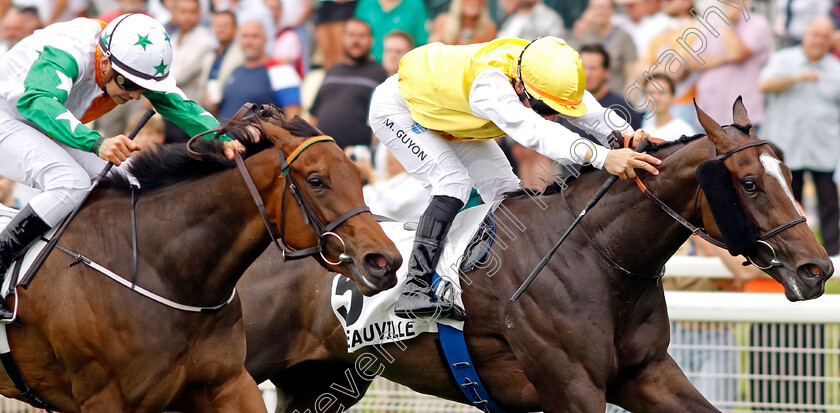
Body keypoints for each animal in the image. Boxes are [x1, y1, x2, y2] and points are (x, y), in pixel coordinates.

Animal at [0, 107, 404, 412]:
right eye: (317, 180)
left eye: (358, 176)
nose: (384, 261)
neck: (162, 269)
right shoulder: (105, 400)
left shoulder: (228, 383)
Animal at [241, 98, 832, 410]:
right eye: (751, 183)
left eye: (787, 174)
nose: (818, 268)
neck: (597, 255)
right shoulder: (570, 386)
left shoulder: (646, 372)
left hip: (321, 379)